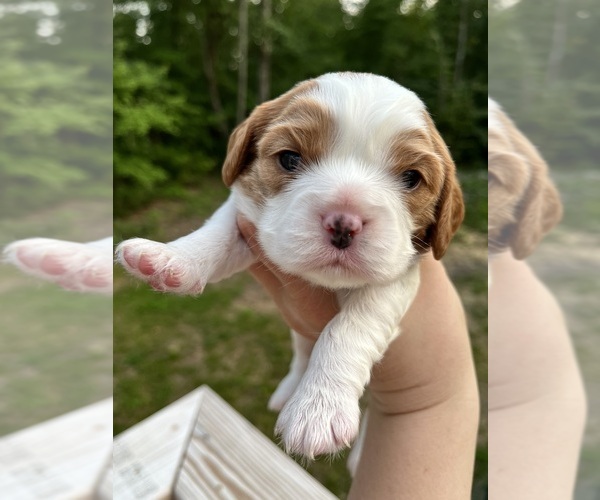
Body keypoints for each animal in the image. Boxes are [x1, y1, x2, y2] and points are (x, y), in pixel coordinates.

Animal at [116, 72, 464, 458]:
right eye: (289, 159)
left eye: (411, 178)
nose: (344, 223)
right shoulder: (248, 219)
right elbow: (219, 229)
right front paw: (173, 258)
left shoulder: (399, 277)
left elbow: (350, 326)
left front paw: (319, 408)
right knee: (301, 355)